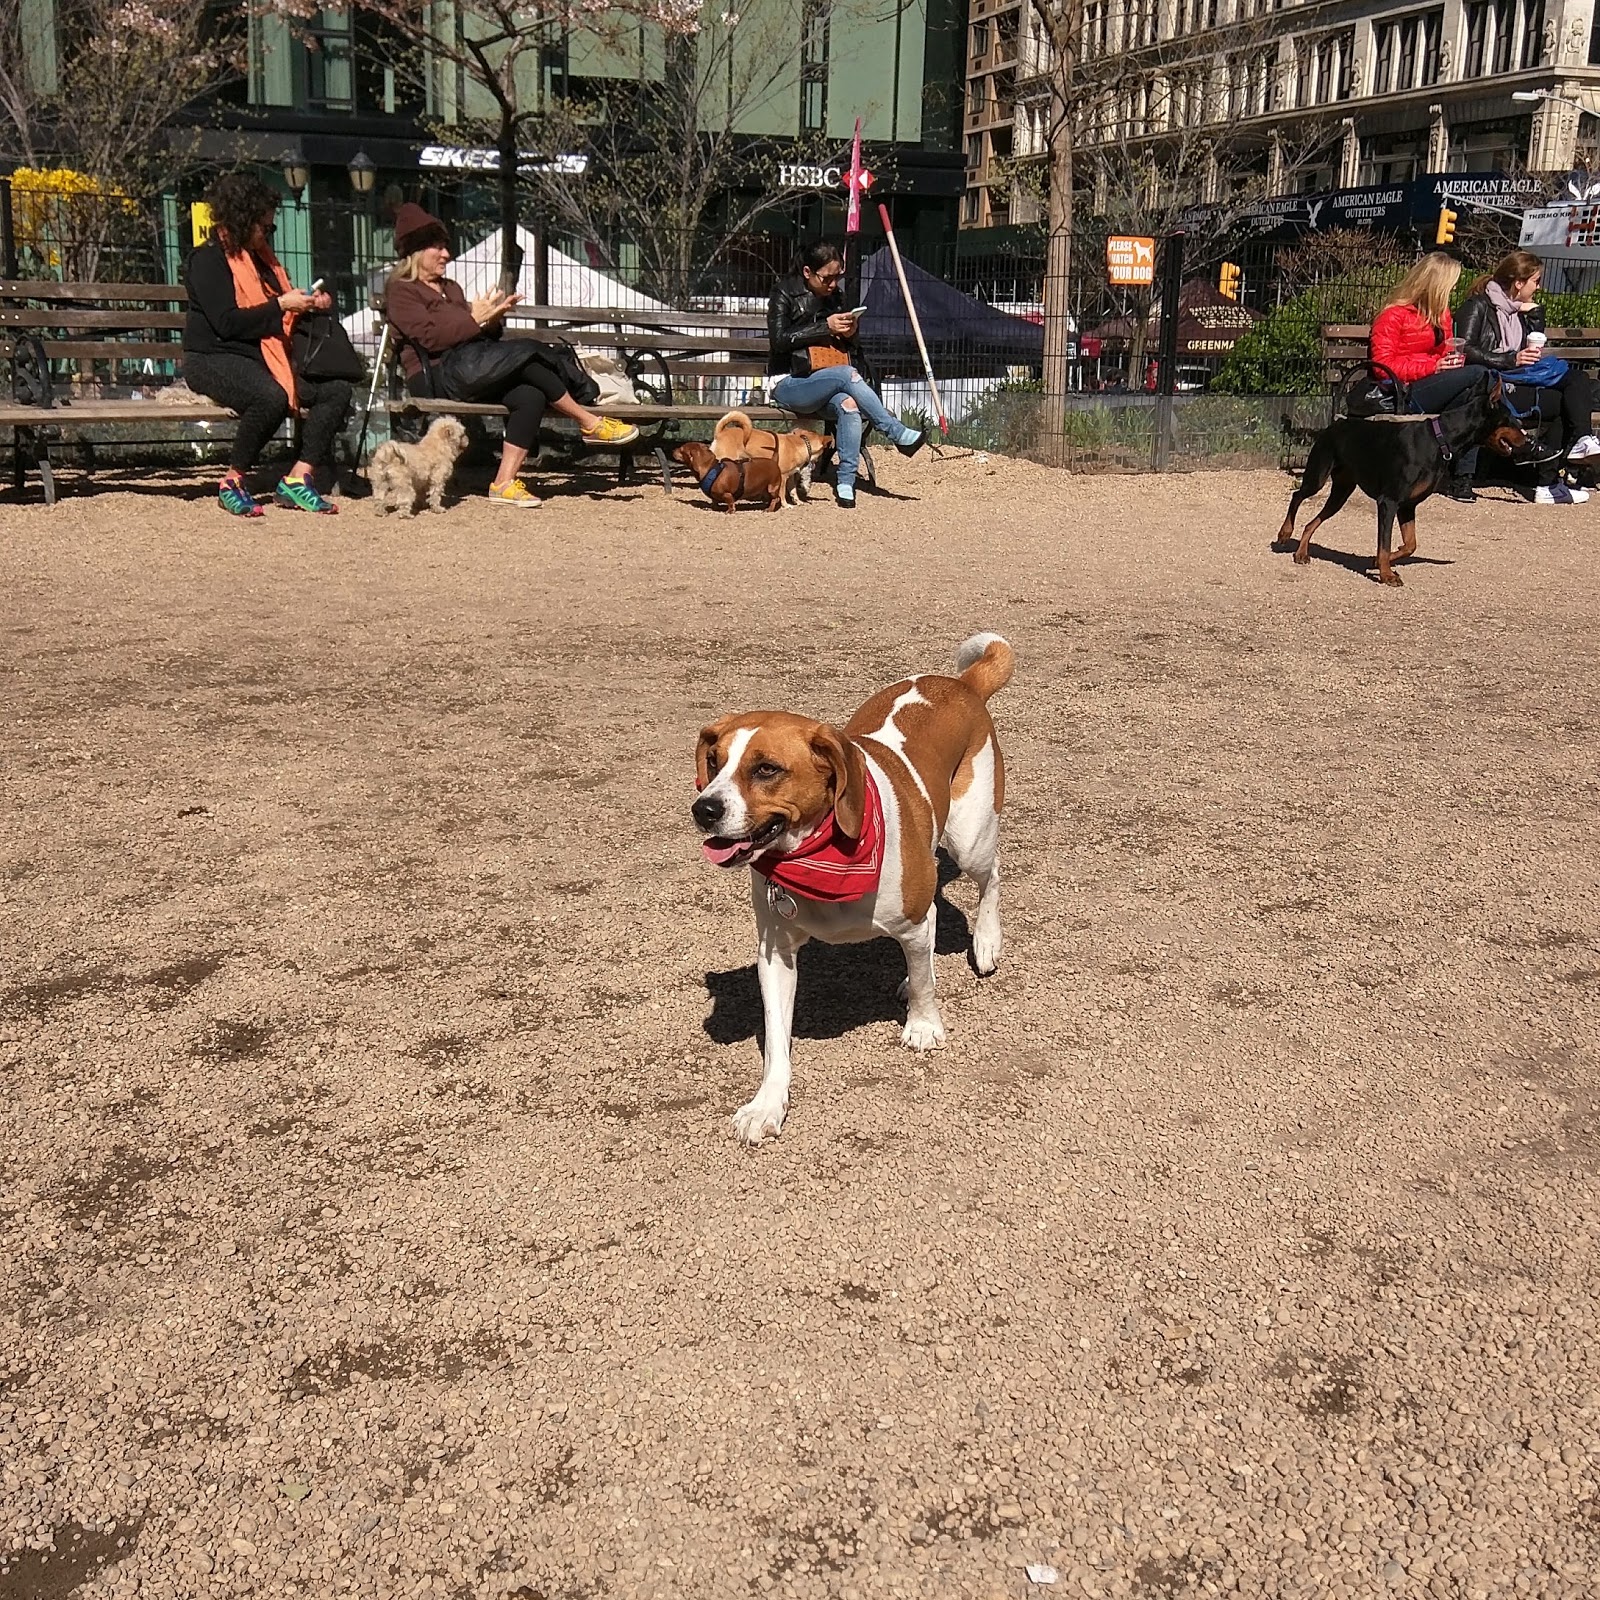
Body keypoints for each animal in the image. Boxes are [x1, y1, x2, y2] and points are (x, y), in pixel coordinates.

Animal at [688, 630, 1011, 1145]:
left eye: (766, 769)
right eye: (714, 762)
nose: (704, 808)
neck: (817, 854)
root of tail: (960, 685)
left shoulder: (912, 918)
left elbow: (925, 981)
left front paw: (924, 1026)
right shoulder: (775, 951)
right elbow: (776, 1038)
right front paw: (767, 1104)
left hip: (970, 838)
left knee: (990, 878)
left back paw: (986, 941)